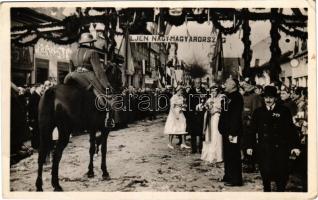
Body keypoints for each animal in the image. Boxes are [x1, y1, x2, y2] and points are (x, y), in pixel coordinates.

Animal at [34, 63, 120, 191]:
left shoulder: (92, 129)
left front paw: (90, 172)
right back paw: (56, 184)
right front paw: (104, 172)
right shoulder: (105, 129)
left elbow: (92, 148)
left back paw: (39, 185)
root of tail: (51, 91)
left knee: (41, 154)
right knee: (56, 154)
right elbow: (103, 149)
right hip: (64, 131)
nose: (120, 88)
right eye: (119, 73)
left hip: (45, 129)